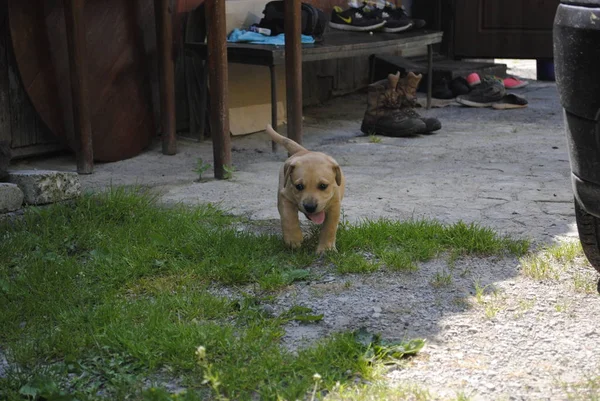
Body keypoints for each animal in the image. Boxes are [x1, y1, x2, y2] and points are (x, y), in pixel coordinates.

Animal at [266, 123, 344, 252]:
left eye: (323, 186)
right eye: (299, 186)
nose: (310, 207)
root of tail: (304, 150)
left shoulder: (335, 205)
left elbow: (330, 227)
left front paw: (326, 248)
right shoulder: (285, 196)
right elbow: (289, 218)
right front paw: (294, 239)